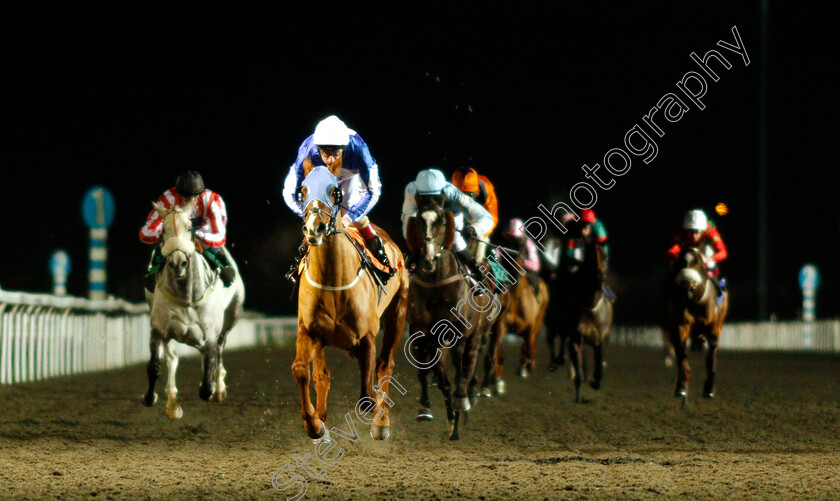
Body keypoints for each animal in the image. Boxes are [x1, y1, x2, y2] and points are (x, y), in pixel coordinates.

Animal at [290, 166, 408, 440]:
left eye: (334, 191)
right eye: (303, 191)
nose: (314, 228)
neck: (334, 281)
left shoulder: (366, 335)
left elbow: (368, 394)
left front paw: (376, 415)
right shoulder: (310, 331)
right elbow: (303, 370)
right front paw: (314, 424)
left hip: (398, 312)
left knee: (385, 364)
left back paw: (381, 423)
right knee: (322, 374)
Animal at [402, 197, 496, 440]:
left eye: (443, 221)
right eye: (418, 220)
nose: (428, 259)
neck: (436, 285)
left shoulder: (458, 335)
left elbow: (459, 377)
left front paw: (460, 406)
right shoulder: (423, 335)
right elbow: (436, 377)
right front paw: (432, 412)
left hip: (477, 336)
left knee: (469, 369)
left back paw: (468, 401)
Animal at [544, 235, 612, 402]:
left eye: (606, 258)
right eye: (592, 257)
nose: (600, 278)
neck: (590, 305)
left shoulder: (600, 338)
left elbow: (599, 366)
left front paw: (595, 382)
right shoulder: (575, 337)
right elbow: (578, 371)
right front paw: (578, 397)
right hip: (552, 322)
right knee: (553, 338)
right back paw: (555, 362)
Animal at [664, 246, 728, 402]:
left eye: (698, 262)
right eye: (681, 263)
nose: (688, 287)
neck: (695, 300)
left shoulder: (713, 327)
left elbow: (711, 357)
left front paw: (709, 390)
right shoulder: (681, 325)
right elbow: (682, 354)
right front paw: (681, 388)